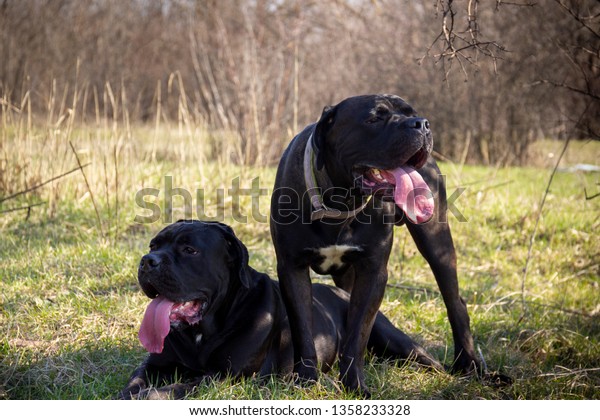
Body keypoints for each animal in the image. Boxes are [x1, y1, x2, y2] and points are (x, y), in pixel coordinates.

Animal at [120, 221, 440, 398]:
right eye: (153, 245)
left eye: (190, 250)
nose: (147, 261)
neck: (203, 331)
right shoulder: (156, 364)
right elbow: (135, 379)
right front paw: (129, 393)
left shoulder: (224, 375)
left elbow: (177, 388)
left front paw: (148, 396)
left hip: (392, 338)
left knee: (424, 357)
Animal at [270, 93, 478, 396]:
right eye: (374, 119)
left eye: (410, 112)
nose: (421, 124)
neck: (341, 202)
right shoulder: (292, 268)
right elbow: (304, 331)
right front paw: (306, 381)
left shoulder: (373, 271)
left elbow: (358, 332)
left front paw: (355, 386)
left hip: (436, 239)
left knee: (455, 301)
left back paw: (472, 364)